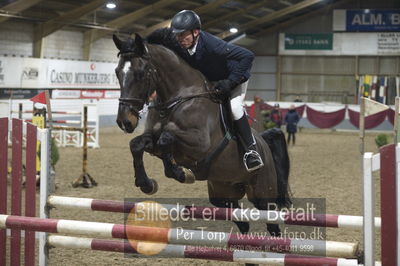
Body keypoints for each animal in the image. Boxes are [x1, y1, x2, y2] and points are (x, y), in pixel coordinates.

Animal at [112, 34, 290, 236]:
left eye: (141, 74)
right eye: (117, 72)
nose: (124, 121)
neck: (177, 99)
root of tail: (263, 144)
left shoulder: (199, 144)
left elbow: (167, 138)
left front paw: (180, 173)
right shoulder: (152, 140)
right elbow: (137, 144)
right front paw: (146, 183)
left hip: (262, 194)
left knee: (271, 223)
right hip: (223, 193)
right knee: (241, 220)